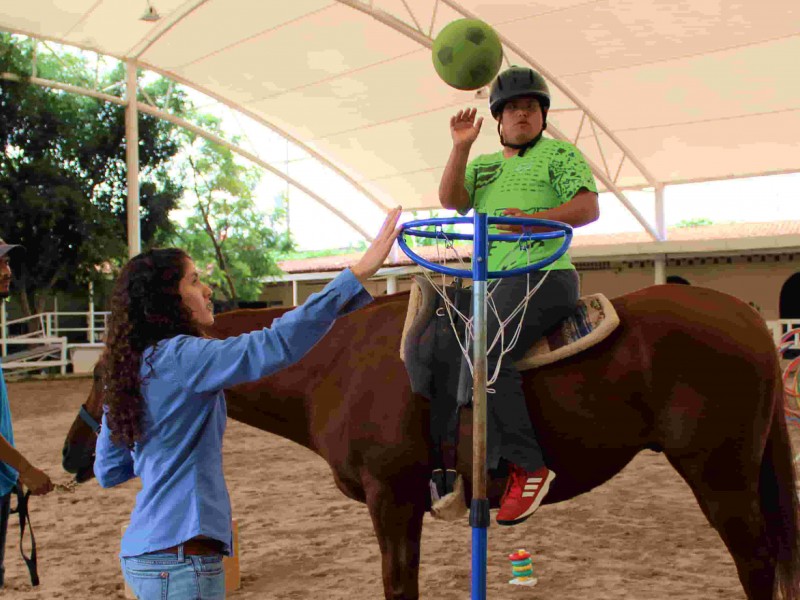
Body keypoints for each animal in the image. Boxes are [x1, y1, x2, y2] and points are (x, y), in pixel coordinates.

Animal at [64, 284, 800, 596]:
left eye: (105, 369)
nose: (74, 454)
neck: (334, 364)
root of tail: (745, 318)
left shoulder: (391, 502)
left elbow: (399, 586)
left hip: (720, 476)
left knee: (757, 565)